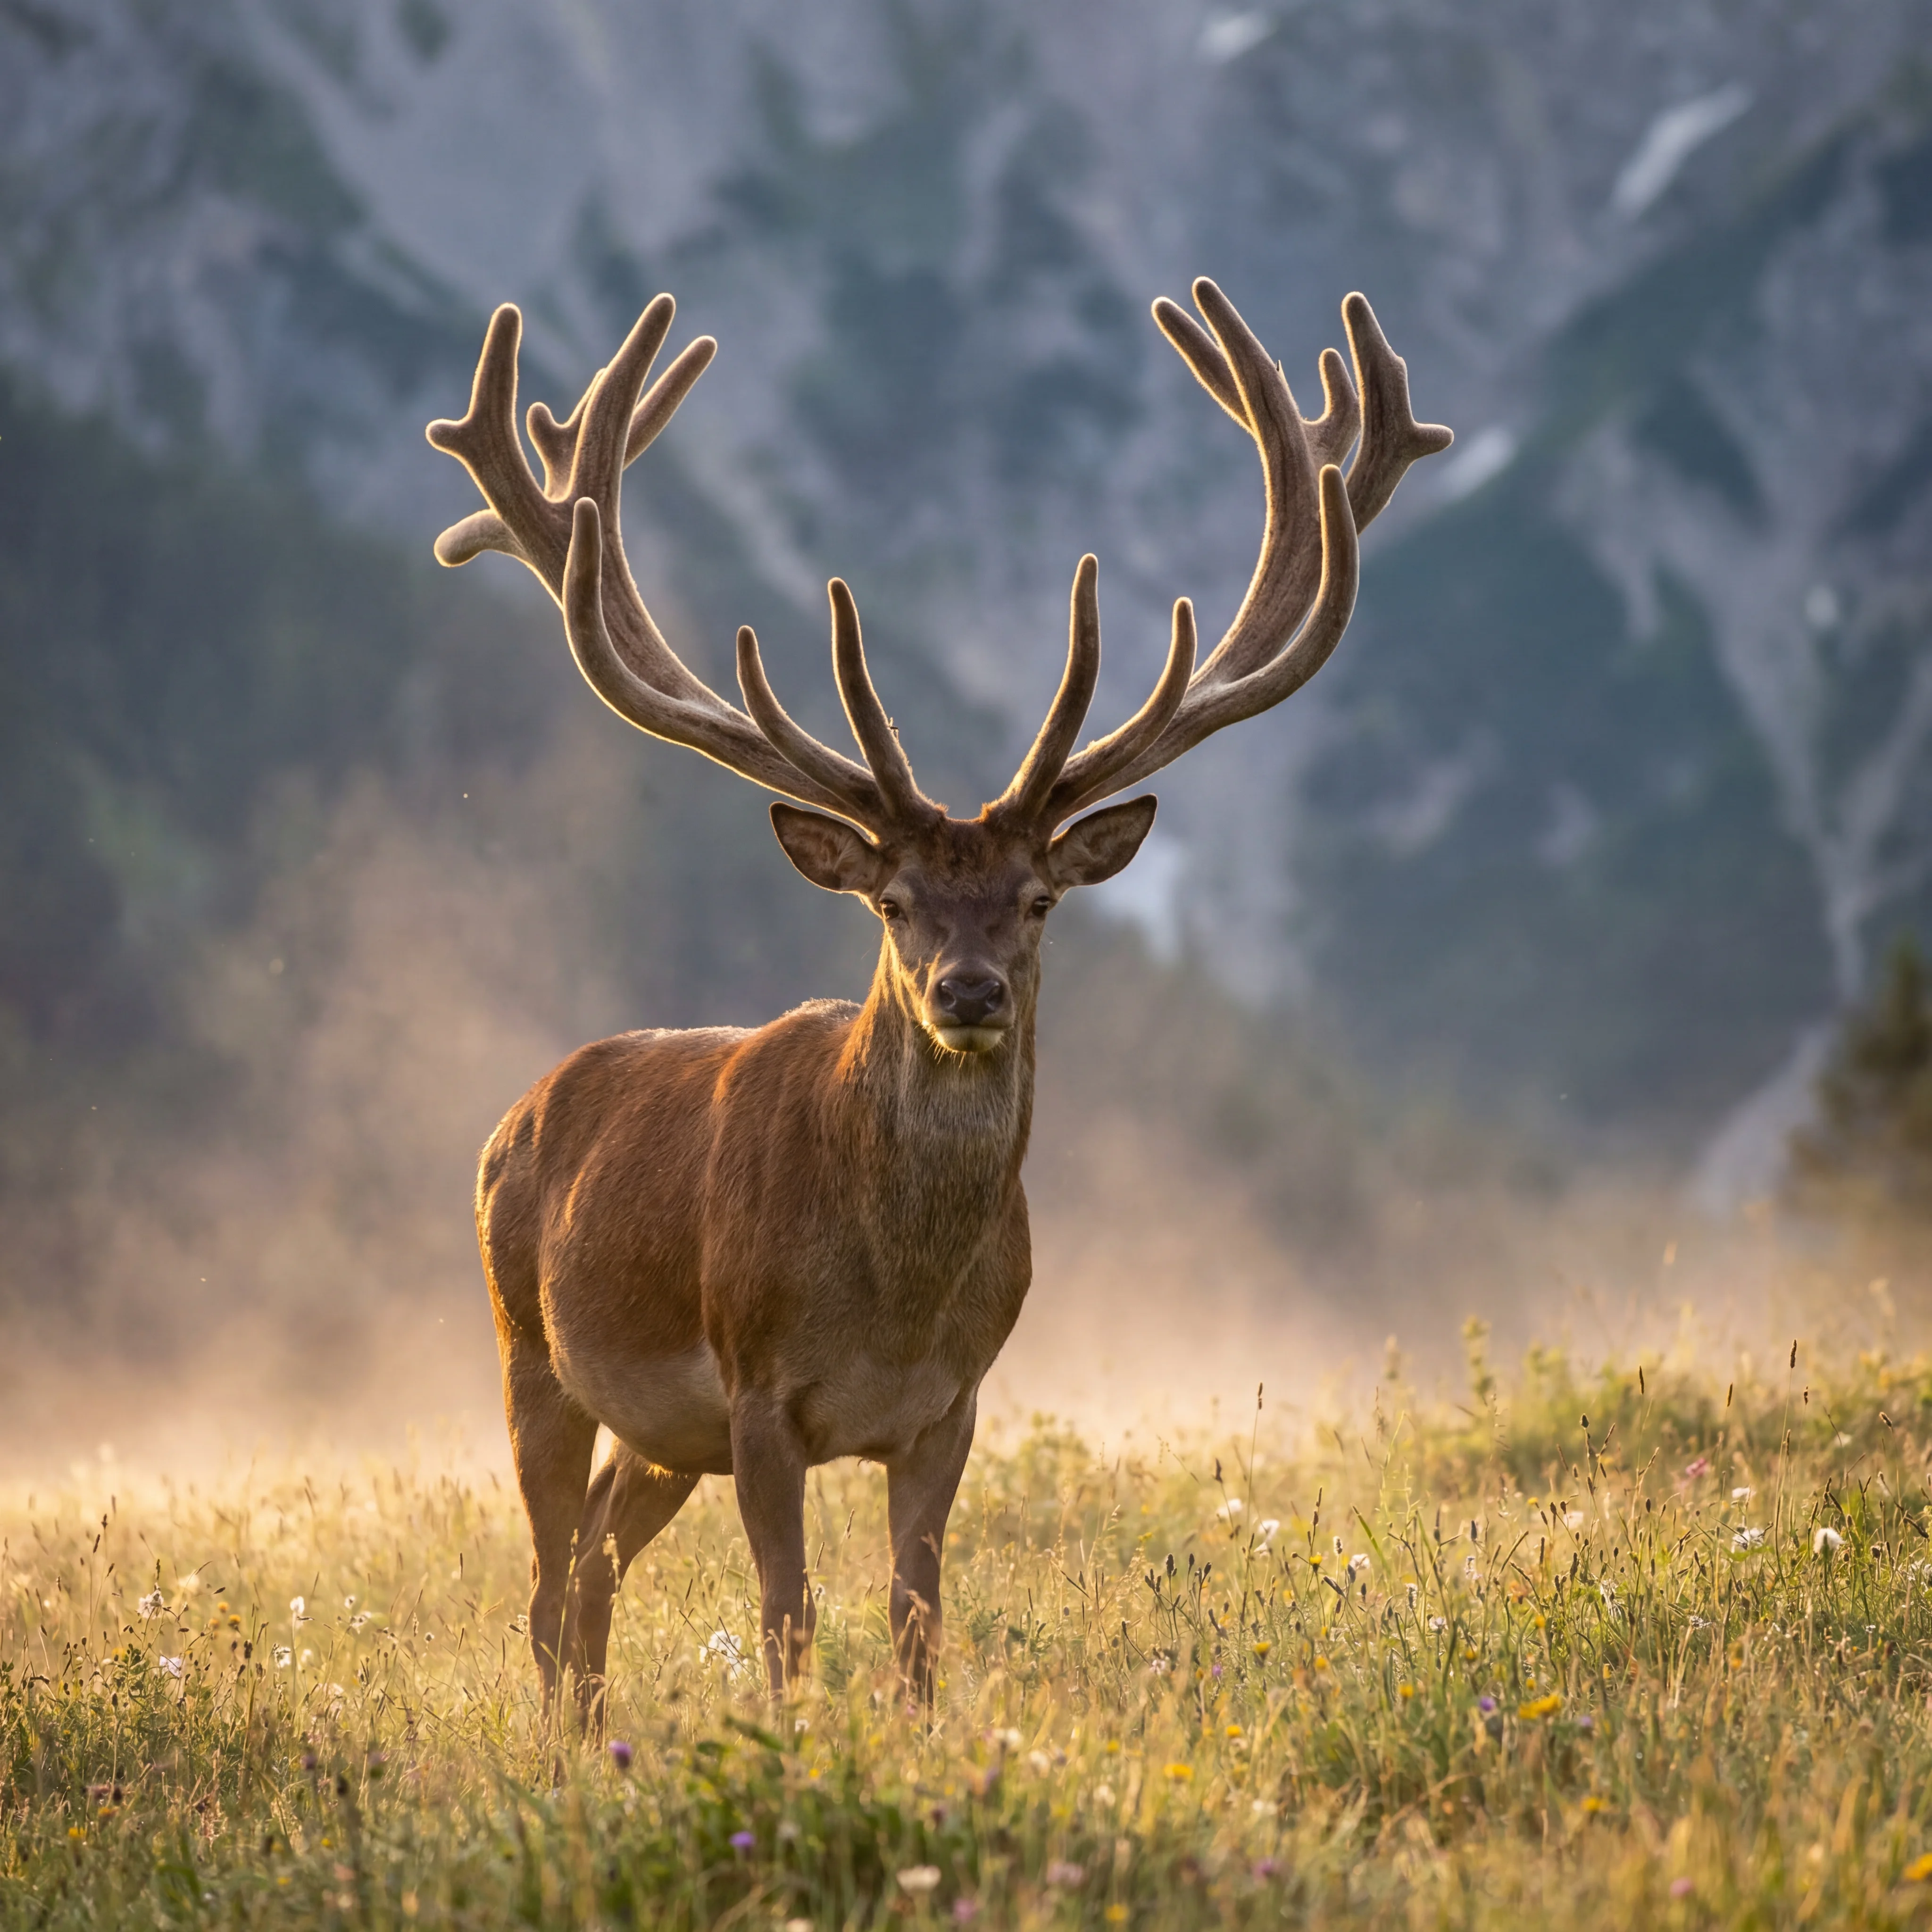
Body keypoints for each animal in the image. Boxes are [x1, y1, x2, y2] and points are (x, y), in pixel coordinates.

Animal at [425, 277, 1449, 1718]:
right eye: (894, 903)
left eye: (1038, 899)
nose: (967, 992)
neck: (893, 1296)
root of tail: (514, 1115)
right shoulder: (758, 1394)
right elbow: (790, 1617)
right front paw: (797, 1739)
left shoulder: (952, 1408)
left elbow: (918, 1619)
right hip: (530, 1346)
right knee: (542, 1586)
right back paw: (563, 1746)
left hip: (662, 1438)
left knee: (589, 1578)